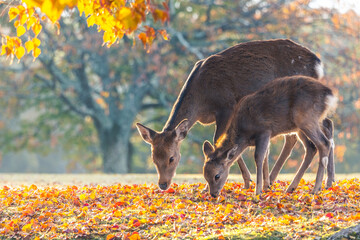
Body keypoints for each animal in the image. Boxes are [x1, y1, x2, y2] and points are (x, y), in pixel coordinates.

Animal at [202, 76, 338, 197]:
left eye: (217, 176)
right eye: (205, 175)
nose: (213, 194)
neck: (244, 134)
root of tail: (329, 95)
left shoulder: (264, 130)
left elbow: (259, 157)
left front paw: (258, 191)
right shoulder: (266, 136)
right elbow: (266, 156)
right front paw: (266, 186)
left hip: (306, 118)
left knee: (323, 143)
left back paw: (316, 189)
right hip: (302, 125)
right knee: (313, 146)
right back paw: (293, 187)